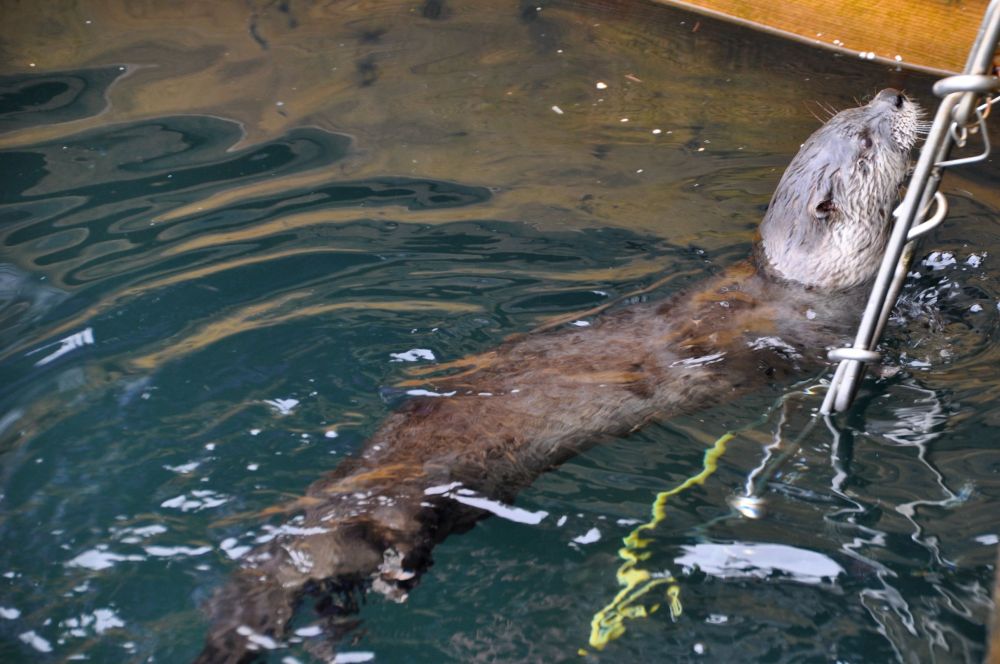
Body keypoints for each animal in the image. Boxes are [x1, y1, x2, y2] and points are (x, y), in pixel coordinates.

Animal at [195, 89, 920, 663]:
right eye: (865, 137)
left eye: (858, 110)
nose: (896, 95)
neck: (802, 278)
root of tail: (320, 516)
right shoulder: (817, 328)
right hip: (406, 510)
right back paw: (391, 581)